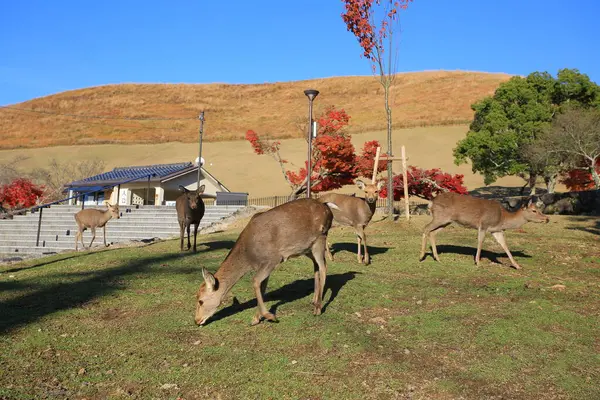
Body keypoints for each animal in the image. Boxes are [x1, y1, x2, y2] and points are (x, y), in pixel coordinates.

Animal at [196, 198, 340, 326]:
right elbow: (262, 286)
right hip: (306, 248)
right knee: (316, 265)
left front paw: (269, 316)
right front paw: (256, 318)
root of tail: (327, 207)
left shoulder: (272, 259)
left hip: (320, 238)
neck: (249, 256)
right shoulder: (264, 265)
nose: (196, 320)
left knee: (324, 266)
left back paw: (318, 308)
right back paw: (314, 300)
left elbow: (255, 281)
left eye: (200, 301)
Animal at [420, 193, 552, 270]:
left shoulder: (496, 230)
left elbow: (504, 245)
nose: (547, 218)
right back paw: (421, 256)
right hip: (440, 217)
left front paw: (517, 265)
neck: (503, 218)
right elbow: (480, 241)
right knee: (426, 228)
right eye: (534, 210)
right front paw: (478, 262)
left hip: (446, 221)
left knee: (432, 232)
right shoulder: (484, 225)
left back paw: (437, 258)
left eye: (539, 209)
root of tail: (431, 202)